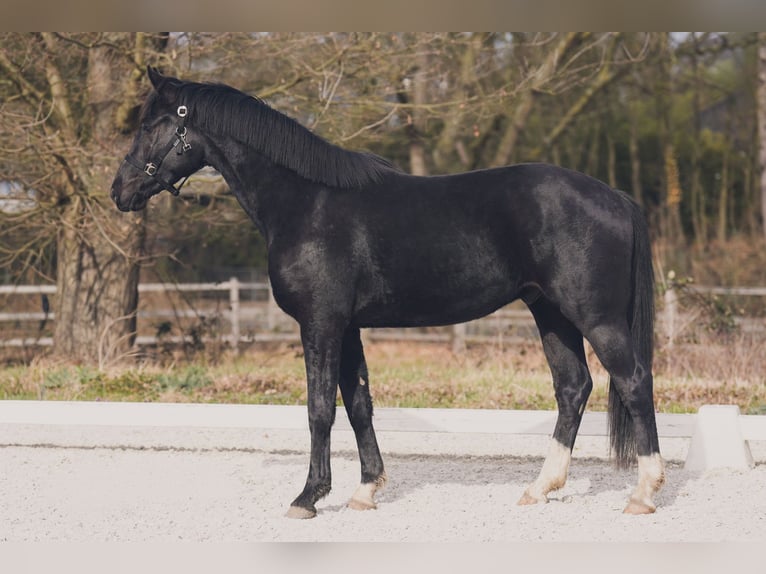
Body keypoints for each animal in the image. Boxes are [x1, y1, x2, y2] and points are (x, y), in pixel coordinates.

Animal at [111, 67, 665, 518]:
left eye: (151, 125)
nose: (120, 191)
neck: (304, 202)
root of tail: (615, 196)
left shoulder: (321, 324)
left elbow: (319, 408)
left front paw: (308, 496)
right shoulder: (348, 327)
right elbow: (359, 404)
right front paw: (366, 490)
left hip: (597, 318)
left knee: (634, 381)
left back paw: (643, 493)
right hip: (551, 313)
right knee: (573, 388)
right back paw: (540, 488)